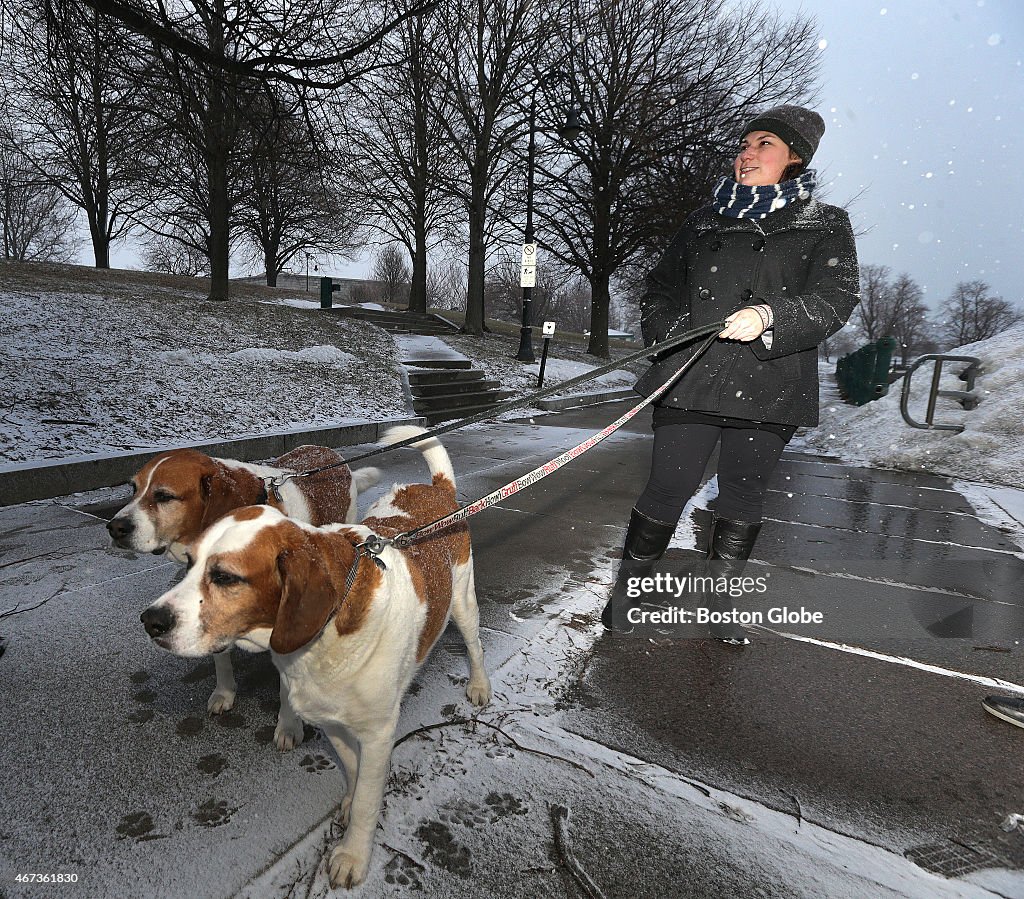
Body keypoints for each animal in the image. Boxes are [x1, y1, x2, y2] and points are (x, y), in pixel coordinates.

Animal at [109, 444, 380, 745]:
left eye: (164, 496)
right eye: (133, 489)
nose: (114, 527)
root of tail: (323, 450)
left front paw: (288, 725)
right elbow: (220, 656)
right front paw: (224, 692)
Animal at [142, 427, 489, 888]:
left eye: (224, 577)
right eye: (190, 563)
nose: (150, 621)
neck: (325, 633)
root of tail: (433, 489)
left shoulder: (378, 732)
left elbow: (368, 799)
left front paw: (353, 854)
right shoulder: (333, 721)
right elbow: (356, 774)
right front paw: (351, 801)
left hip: (463, 602)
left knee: (474, 643)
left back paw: (480, 684)